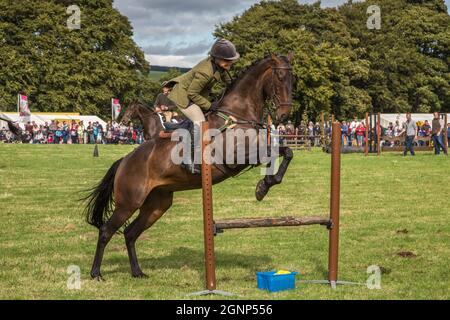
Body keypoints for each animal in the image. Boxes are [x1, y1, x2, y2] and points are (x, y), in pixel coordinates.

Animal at [83, 53, 296, 280]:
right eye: (280, 77)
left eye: (292, 79)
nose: (284, 115)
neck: (239, 113)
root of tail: (124, 160)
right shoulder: (237, 157)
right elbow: (273, 154)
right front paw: (262, 187)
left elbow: (286, 152)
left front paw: (265, 185)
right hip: (129, 202)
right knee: (106, 230)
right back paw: (96, 273)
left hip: (157, 204)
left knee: (130, 233)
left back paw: (137, 272)